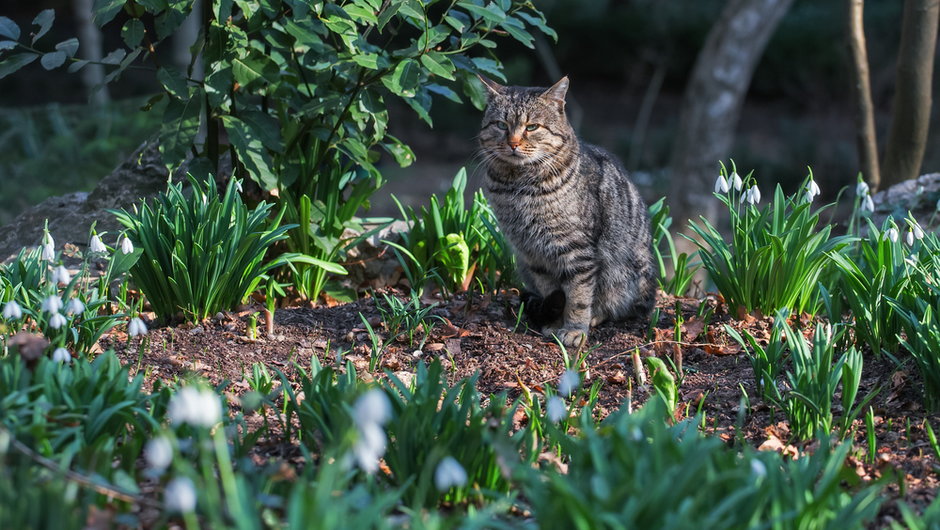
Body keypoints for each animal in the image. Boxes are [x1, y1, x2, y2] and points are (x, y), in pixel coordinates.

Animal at [478, 74, 652, 346]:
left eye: (532, 127)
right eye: (501, 125)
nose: (513, 143)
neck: (518, 187)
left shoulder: (576, 251)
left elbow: (578, 296)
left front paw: (574, 330)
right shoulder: (532, 253)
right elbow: (552, 290)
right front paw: (555, 323)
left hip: (624, 271)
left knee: (621, 306)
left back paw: (596, 316)